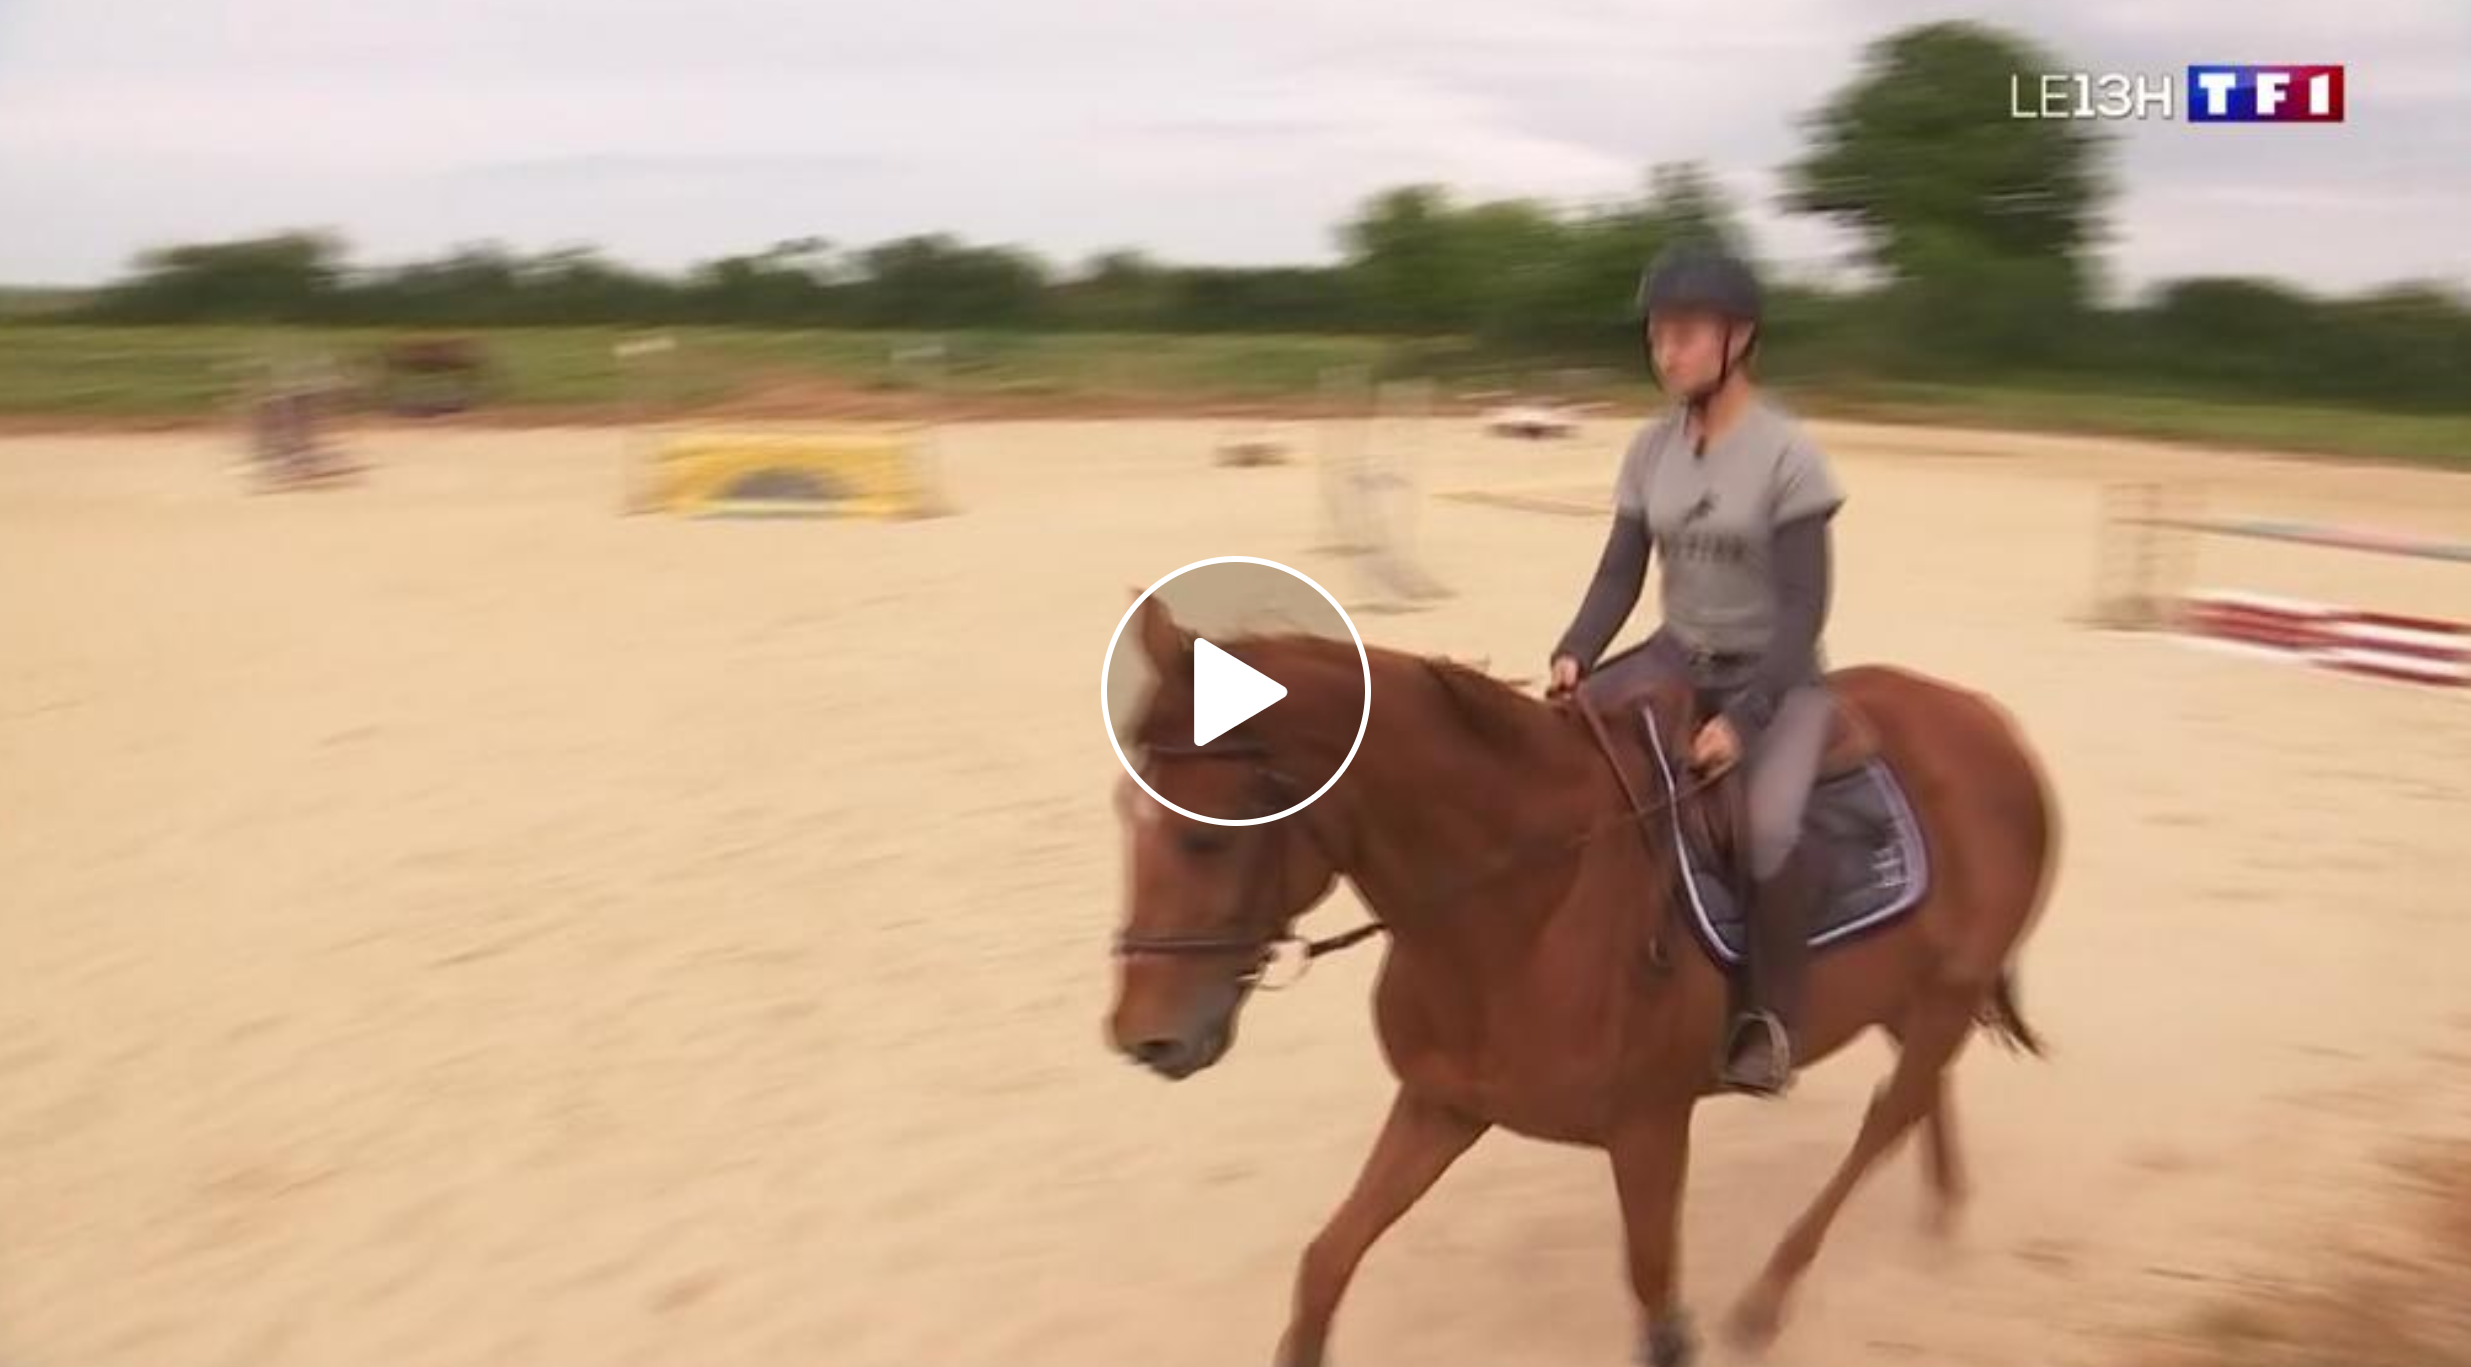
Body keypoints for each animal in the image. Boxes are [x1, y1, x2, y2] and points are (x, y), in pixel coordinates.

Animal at [1111, 600, 2055, 1364]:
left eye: (1206, 837)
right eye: (1127, 812)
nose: (1143, 1035)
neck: (1525, 902)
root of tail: (1991, 725)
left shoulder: (1648, 1128)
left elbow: (1657, 1308)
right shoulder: (1440, 1104)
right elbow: (1324, 1263)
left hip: (1946, 989)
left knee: (1891, 1112)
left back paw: (1767, 1298)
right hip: (1906, 992)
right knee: (1922, 1094)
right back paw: (1939, 1218)